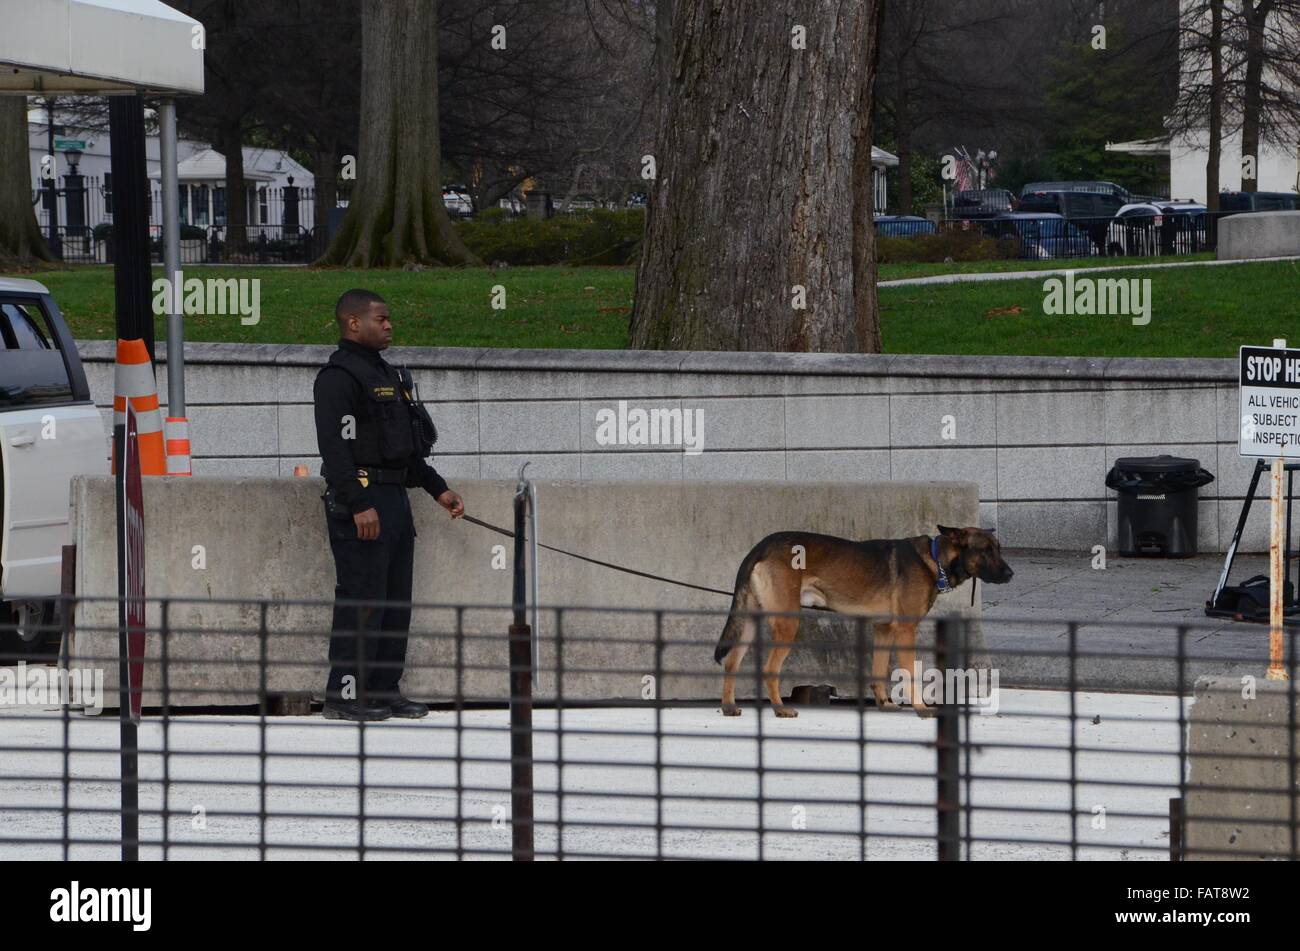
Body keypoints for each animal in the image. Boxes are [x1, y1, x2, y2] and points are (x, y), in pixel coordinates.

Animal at [717, 524, 1008, 717]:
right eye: (985, 550)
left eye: (998, 549)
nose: (1011, 574)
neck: (935, 559)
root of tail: (761, 546)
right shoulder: (905, 631)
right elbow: (910, 674)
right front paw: (920, 708)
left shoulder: (884, 629)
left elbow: (878, 671)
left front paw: (884, 703)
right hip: (788, 623)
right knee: (769, 668)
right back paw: (780, 708)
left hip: (749, 622)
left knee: (732, 662)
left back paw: (729, 706)